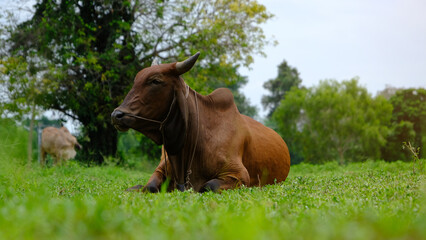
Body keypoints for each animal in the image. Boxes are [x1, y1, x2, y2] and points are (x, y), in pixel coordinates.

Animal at [110, 51, 292, 192]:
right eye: (135, 81)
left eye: (156, 81)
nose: (116, 115)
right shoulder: (161, 168)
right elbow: (149, 186)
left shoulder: (239, 175)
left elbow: (207, 186)